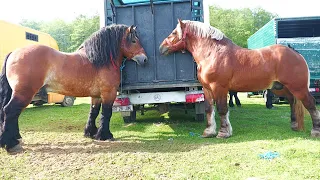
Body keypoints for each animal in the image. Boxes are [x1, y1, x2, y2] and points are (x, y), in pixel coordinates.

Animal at [0, 23, 148, 153]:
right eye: (134, 41)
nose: (145, 59)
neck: (99, 61)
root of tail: (13, 53)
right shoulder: (108, 93)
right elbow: (106, 113)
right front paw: (105, 135)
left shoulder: (96, 96)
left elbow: (93, 112)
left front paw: (90, 133)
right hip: (24, 93)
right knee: (10, 111)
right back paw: (11, 144)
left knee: (12, 113)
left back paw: (16, 138)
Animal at [160, 19, 320, 139]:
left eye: (174, 32)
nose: (162, 47)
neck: (212, 52)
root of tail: (296, 53)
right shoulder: (207, 89)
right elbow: (209, 109)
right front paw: (209, 132)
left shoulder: (219, 88)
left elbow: (222, 109)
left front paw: (223, 133)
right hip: (280, 88)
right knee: (293, 102)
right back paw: (294, 125)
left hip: (298, 88)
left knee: (311, 104)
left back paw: (315, 131)